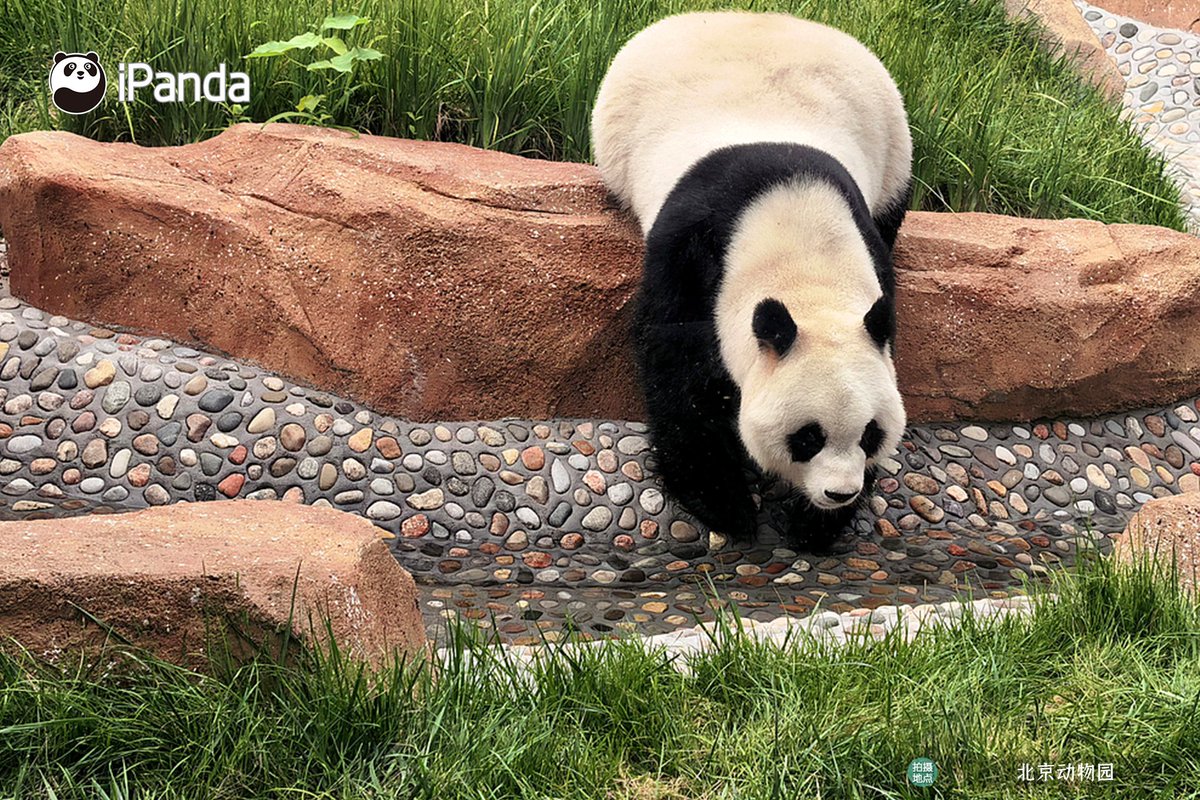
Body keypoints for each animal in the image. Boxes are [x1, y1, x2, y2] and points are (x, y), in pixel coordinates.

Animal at [591, 11, 911, 548]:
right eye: (808, 437)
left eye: (871, 434)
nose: (839, 493)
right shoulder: (692, 253)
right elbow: (676, 365)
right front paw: (728, 505)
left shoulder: (869, 247)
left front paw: (814, 525)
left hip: (893, 150)